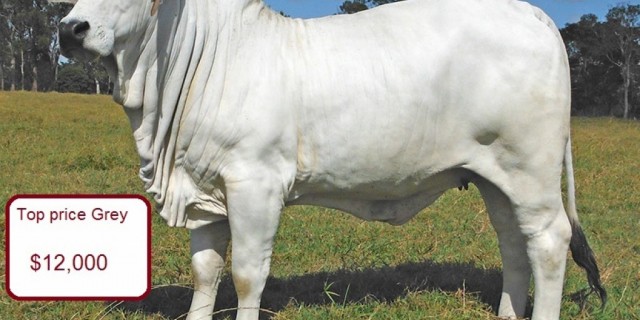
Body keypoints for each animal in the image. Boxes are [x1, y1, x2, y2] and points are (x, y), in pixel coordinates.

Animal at [50, 0, 604, 318]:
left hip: (531, 172)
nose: (70, 29)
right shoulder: (203, 189)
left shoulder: (255, 184)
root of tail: (536, 16)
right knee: (514, 244)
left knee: (549, 242)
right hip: (495, 176)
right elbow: (205, 272)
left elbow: (247, 275)